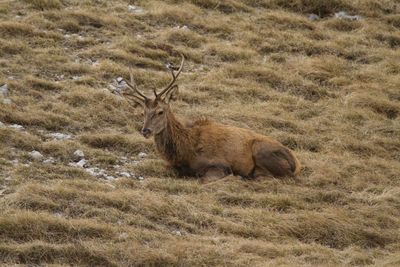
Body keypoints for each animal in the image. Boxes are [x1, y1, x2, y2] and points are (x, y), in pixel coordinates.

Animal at [122, 55, 300, 183]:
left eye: (160, 111)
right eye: (143, 112)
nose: (145, 131)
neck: (185, 151)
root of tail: (296, 164)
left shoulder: (219, 164)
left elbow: (203, 180)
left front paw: (236, 177)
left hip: (262, 151)